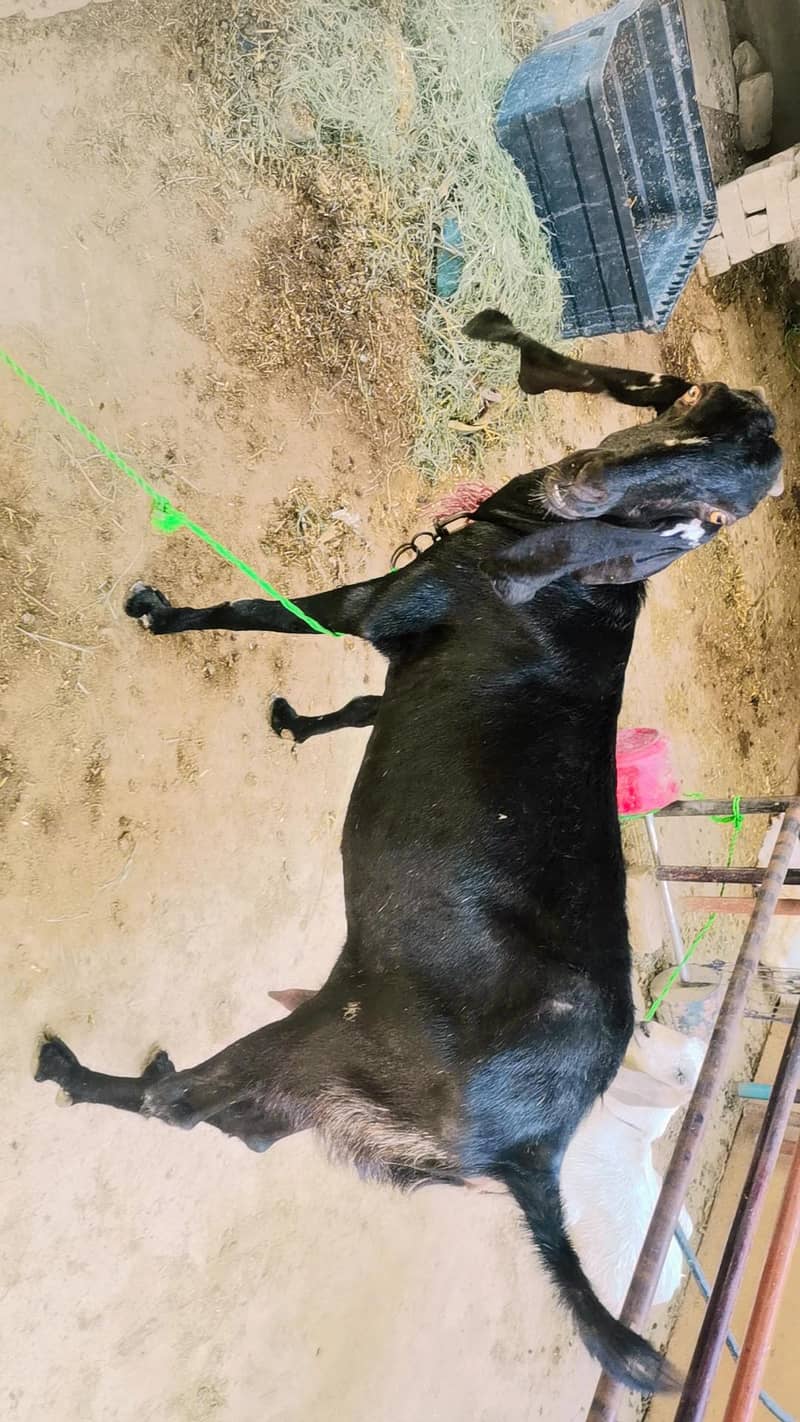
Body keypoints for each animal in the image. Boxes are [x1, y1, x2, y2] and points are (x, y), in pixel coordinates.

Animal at [35, 312, 783, 1396]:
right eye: (693, 405)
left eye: (704, 520)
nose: (582, 495)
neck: (580, 582)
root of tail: (532, 1157)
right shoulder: (406, 650)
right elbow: (359, 704)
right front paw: (298, 722)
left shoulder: (385, 601)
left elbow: (274, 611)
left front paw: (163, 612)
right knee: (241, 1126)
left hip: (326, 1039)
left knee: (182, 1106)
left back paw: (68, 1067)